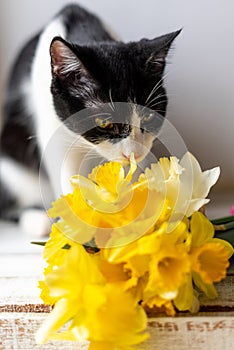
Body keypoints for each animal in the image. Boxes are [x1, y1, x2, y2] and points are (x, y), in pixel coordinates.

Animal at [0, 4, 180, 235]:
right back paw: (38, 220)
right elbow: (64, 170)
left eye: (148, 116)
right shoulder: (50, 126)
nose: (134, 153)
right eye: (104, 123)